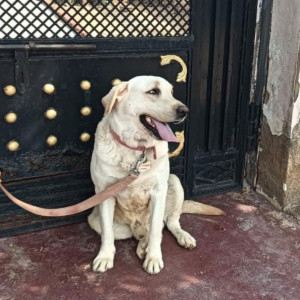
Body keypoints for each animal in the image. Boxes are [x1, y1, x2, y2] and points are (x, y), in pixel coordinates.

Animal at [88, 75, 224, 274]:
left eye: (171, 92)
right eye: (153, 91)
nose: (184, 110)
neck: (136, 150)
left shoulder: (158, 191)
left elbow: (155, 231)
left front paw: (153, 257)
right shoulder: (104, 192)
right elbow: (107, 233)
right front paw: (104, 256)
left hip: (174, 182)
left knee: (167, 223)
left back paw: (180, 238)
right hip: (98, 221)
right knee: (134, 233)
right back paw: (141, 246)